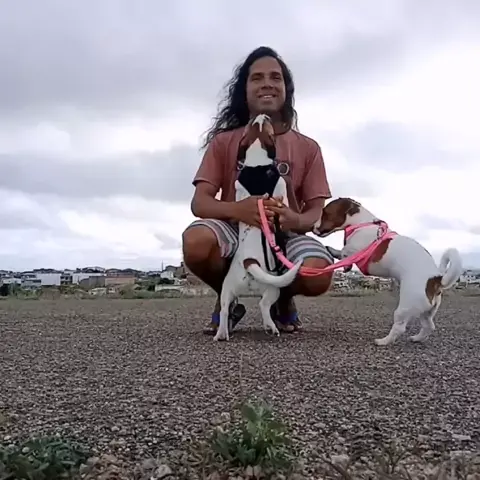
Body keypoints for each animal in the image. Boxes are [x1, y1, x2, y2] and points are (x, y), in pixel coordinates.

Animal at [213, 114, 302, 342]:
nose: (263, 114)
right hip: (273, 289)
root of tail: (249, 262)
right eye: (267, 125)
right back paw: (272, 327)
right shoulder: (280, 191)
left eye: (252, 124)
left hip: (227, 289)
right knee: (263, 305)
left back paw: (221, 333)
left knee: (224, 309)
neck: (256, 164)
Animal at [312, 197, 463, 346]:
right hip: (426, 311)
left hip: (405, 307)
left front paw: (341, 258)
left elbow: (344, 252)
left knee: (400, 327)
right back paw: (416, 338)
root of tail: (436, 279)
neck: (361, 224)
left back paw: (383, 341)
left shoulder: (355, 251)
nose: (313, 226)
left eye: (325, 212)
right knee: (429, 326)